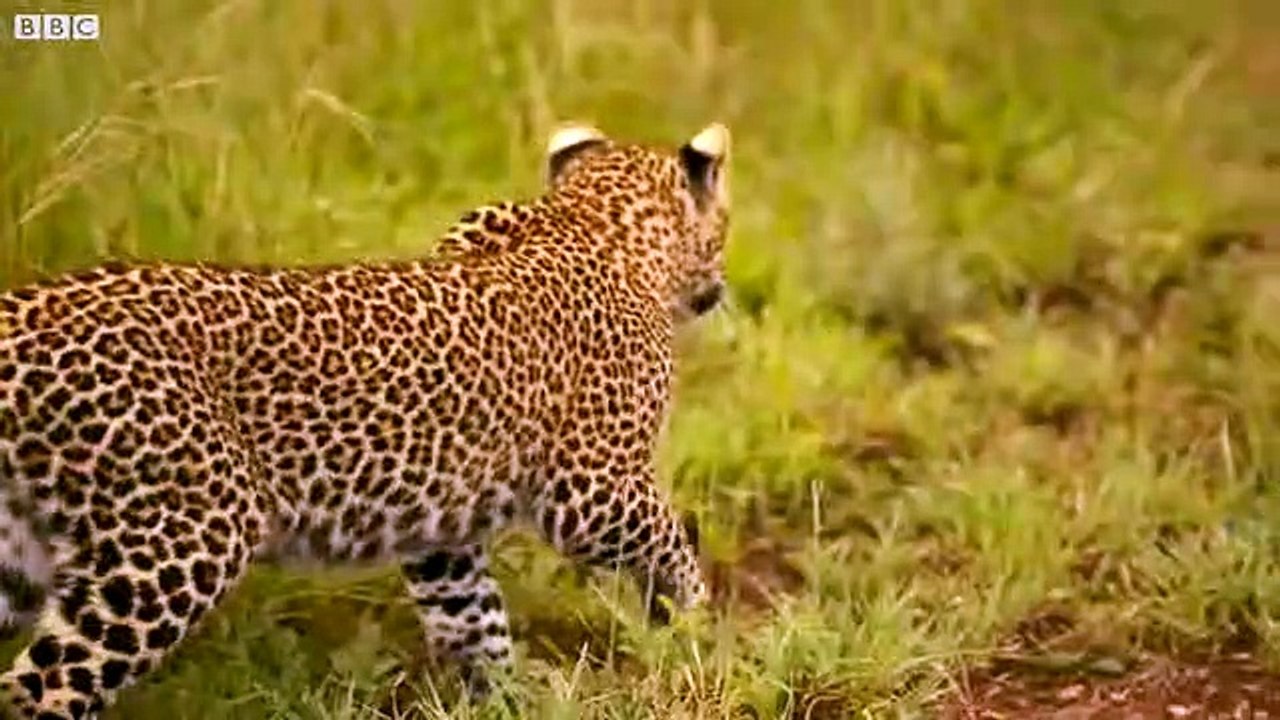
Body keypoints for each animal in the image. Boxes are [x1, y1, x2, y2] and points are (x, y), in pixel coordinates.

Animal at [0, 121, 731, 719]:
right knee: (41, 685)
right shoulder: (593, 488)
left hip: (19, 550)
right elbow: (668, 541)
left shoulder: (444, 536)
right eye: (723, 231)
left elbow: (477, 622)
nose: (719, 288)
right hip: (179, 540)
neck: (591, 222)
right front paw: (693, 620)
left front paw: (506, 702)